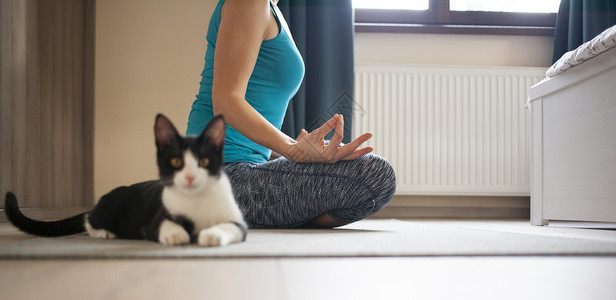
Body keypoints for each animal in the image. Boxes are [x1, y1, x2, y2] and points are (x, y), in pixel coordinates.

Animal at [4, 113, 247, 247]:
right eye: (176, 161)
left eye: (204, 161)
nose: (189, 177)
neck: (196, 200)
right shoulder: (156, 219)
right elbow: (163, 225)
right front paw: (177, 234)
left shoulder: (238, 222)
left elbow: (231, 227)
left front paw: (212, 234)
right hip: (108, 210)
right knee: (88, 218)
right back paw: (105, 232)